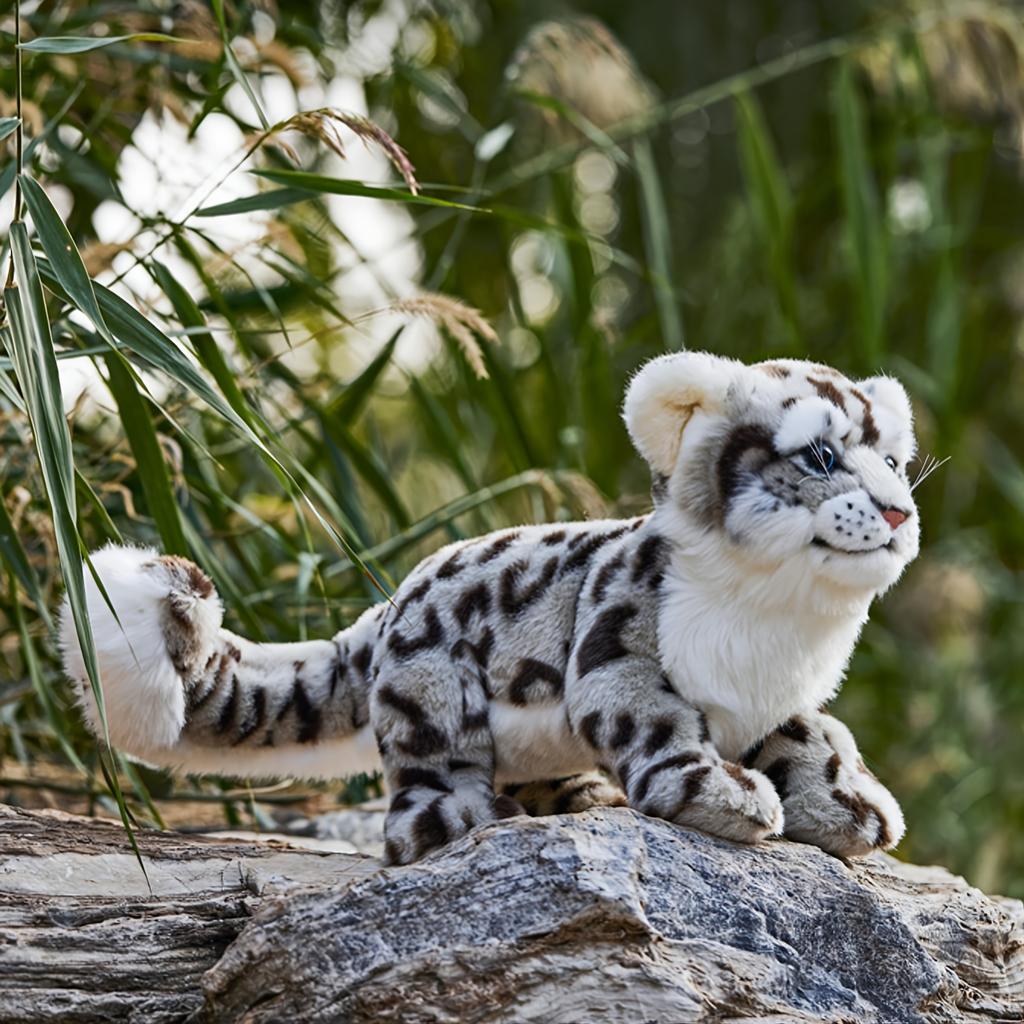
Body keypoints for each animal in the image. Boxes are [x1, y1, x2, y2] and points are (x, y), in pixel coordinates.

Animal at [61, 351, 920, 865]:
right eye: (821, 455)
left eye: (893, 459)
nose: (900, 510)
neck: (780, 622)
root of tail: (387, 609)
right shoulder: (621, 654)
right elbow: (658, 724)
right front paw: (724, 796)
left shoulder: (768, 696)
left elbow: (815, 734)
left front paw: (853, 806)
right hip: (432, 695)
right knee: (416, 806)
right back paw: (474, 818)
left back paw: (578, 797)